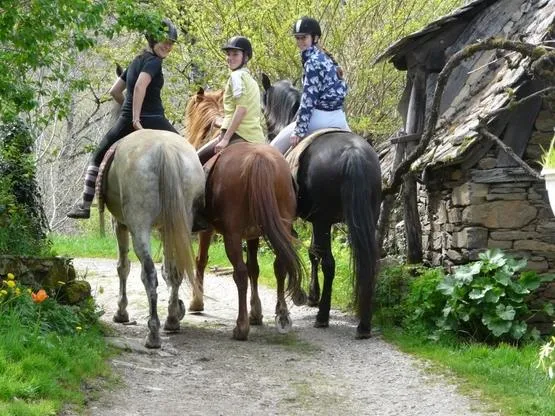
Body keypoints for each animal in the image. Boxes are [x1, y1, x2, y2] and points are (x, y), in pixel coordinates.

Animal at [185, 89, 306, 340]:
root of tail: (259, 160)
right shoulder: (252, 235)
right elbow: (255, 268)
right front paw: (256, 312)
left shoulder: (208, 230)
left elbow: (202, 260)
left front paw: (197, 302)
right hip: (278, 227)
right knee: (280, 264)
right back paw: (282, 315)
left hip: (231, 236)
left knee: (239, 273)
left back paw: (241, 327)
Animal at [262, 75, 384, 338]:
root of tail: (353, 153)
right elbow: (312, 252)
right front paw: (311, 295)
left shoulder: (308, 220)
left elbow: (308, 252)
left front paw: (305, 296)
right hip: (364, 218)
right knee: (367, 263)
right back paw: (364, 324)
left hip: (323, 221)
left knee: (329, 263)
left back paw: (323, 317)